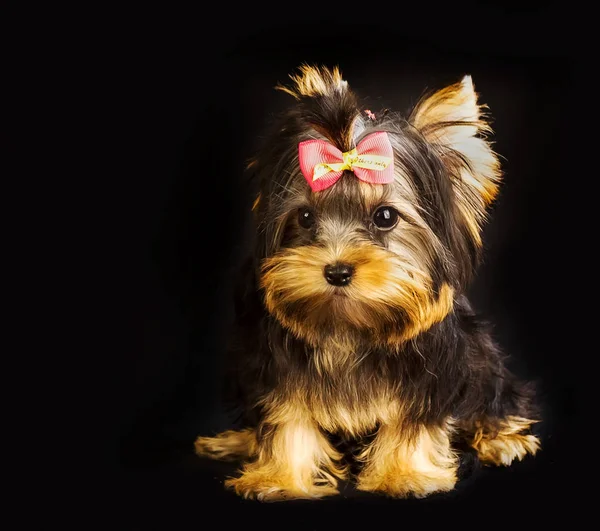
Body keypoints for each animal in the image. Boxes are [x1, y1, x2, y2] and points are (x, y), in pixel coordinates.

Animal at [196, 64, 540, 500]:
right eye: (305, 217)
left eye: (385, 216)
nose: (337, 271)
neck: (350, 326)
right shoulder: (274, 362)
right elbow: (289, 414)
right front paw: (279, 477)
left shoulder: (430, 370)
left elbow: (412, 420)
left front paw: (404, 473)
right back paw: (233, 441)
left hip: (480, 355)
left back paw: (502, 439)